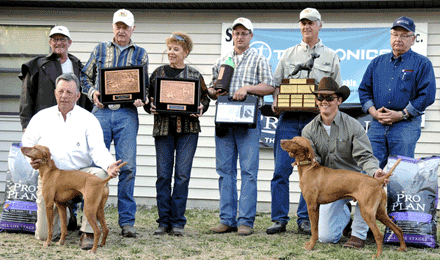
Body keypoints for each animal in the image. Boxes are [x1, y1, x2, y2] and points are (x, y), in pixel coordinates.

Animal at [280, 136, 408, 258]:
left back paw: (378, 255)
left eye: (295, 142)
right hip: (379, 212)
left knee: (379, 235)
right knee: (398, 229)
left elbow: (314, 229)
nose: (281, 141)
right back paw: (402, 248)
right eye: (293, 138)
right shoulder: (316, 206)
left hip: (367, 211)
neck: (308, 169)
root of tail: (378, 181)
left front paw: (311, 246)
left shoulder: (312, 206)